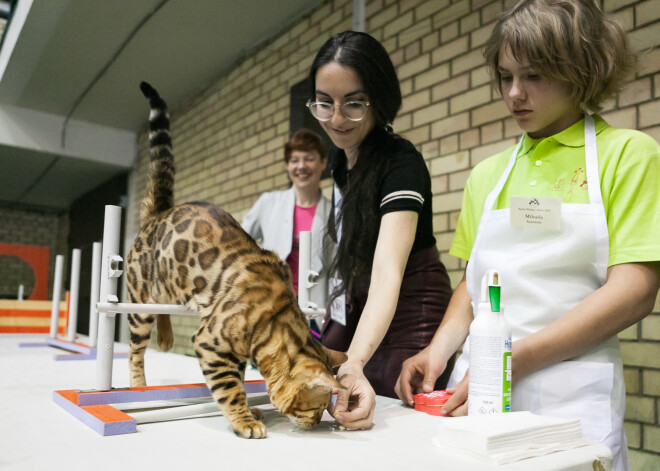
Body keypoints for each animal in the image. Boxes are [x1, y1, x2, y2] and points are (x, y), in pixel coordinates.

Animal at [124, 81, 346, 438]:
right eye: (317, 406)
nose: (314, 424)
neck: (276, 317)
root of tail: (159, 213)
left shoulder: (235, 351)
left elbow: (238, 380)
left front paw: (249, 411)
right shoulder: (210, 342)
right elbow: (229, 388)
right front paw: (245, 421)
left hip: (168, 289)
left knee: (164, 310)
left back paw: (167, 338)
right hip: (139, 303)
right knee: (135, 350)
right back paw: (138, 384)